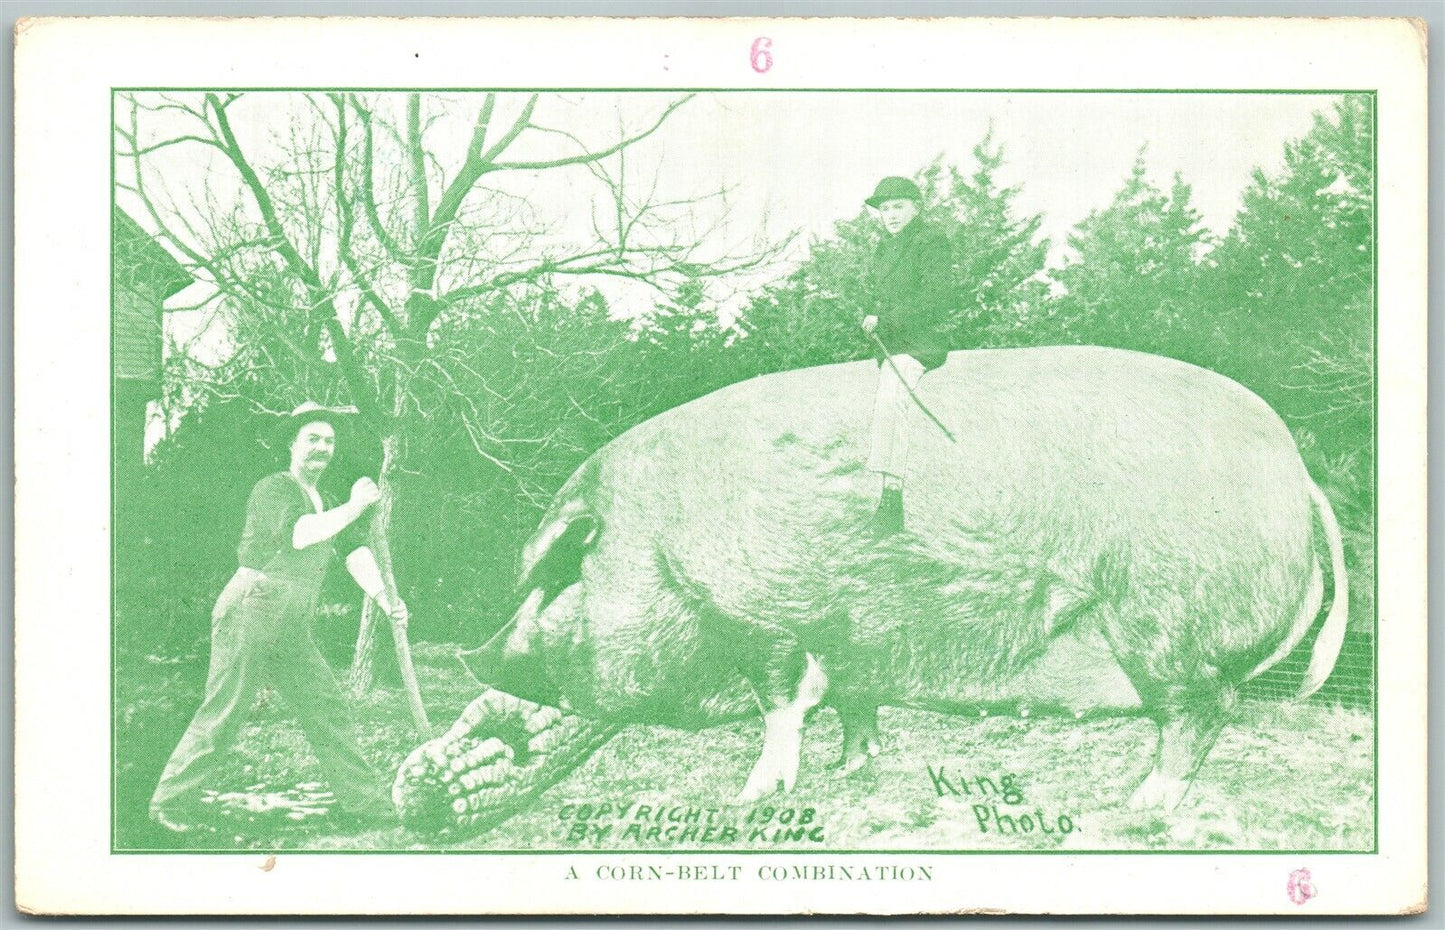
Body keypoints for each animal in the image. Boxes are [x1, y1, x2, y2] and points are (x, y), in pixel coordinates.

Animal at [461, 345, 1347, 811]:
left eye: (563, 579)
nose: (480, 658)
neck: (664, 552)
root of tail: (1295, 471)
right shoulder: (851, 640)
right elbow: (850, 702)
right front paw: (851, 767)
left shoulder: (765, 620)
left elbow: (778, 706)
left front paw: (752, 796)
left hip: (1162, 622)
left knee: (1204, 708)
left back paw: (1141, 802)